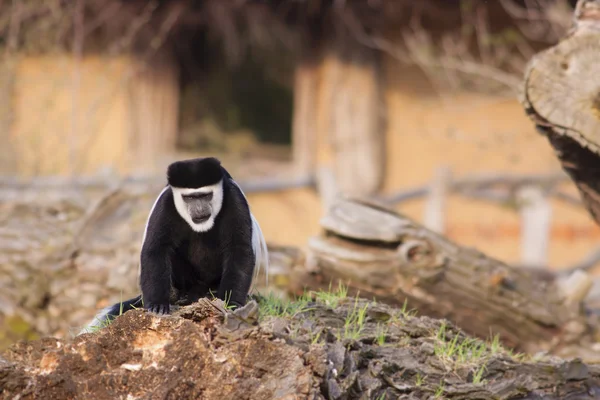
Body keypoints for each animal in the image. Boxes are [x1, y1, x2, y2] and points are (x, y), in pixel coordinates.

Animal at [79, 156, 268, 334]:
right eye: (189, 198)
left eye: (206, 195)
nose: (200, 210)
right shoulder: (166, 203)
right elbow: (156, 249)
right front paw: (157, 305)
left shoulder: (235, 199)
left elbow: (239, 249)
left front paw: (231, 303)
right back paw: (183, 295)